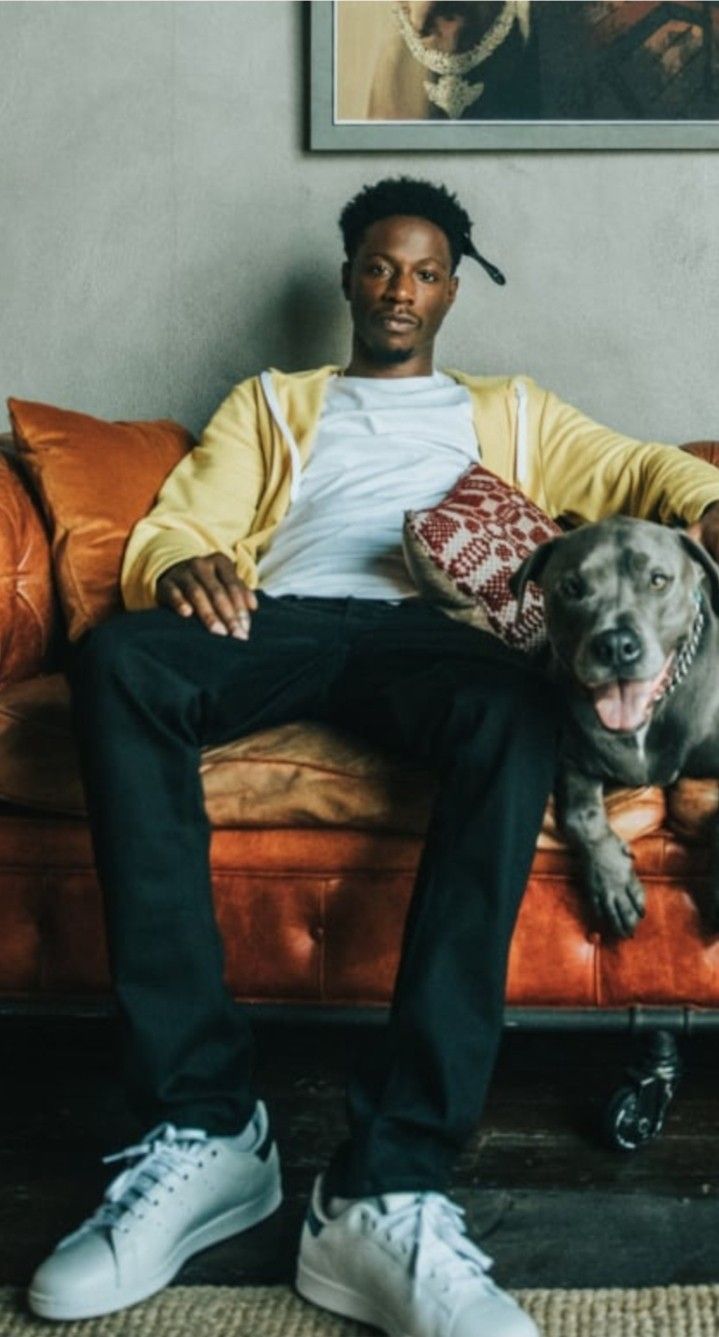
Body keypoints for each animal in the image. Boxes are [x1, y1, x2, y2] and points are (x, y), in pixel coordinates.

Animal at [510, 513, 716, 941]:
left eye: (658, 580)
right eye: (572, 587)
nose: (617, 645)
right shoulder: (571, 760)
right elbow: (581, 815)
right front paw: (612, 881)